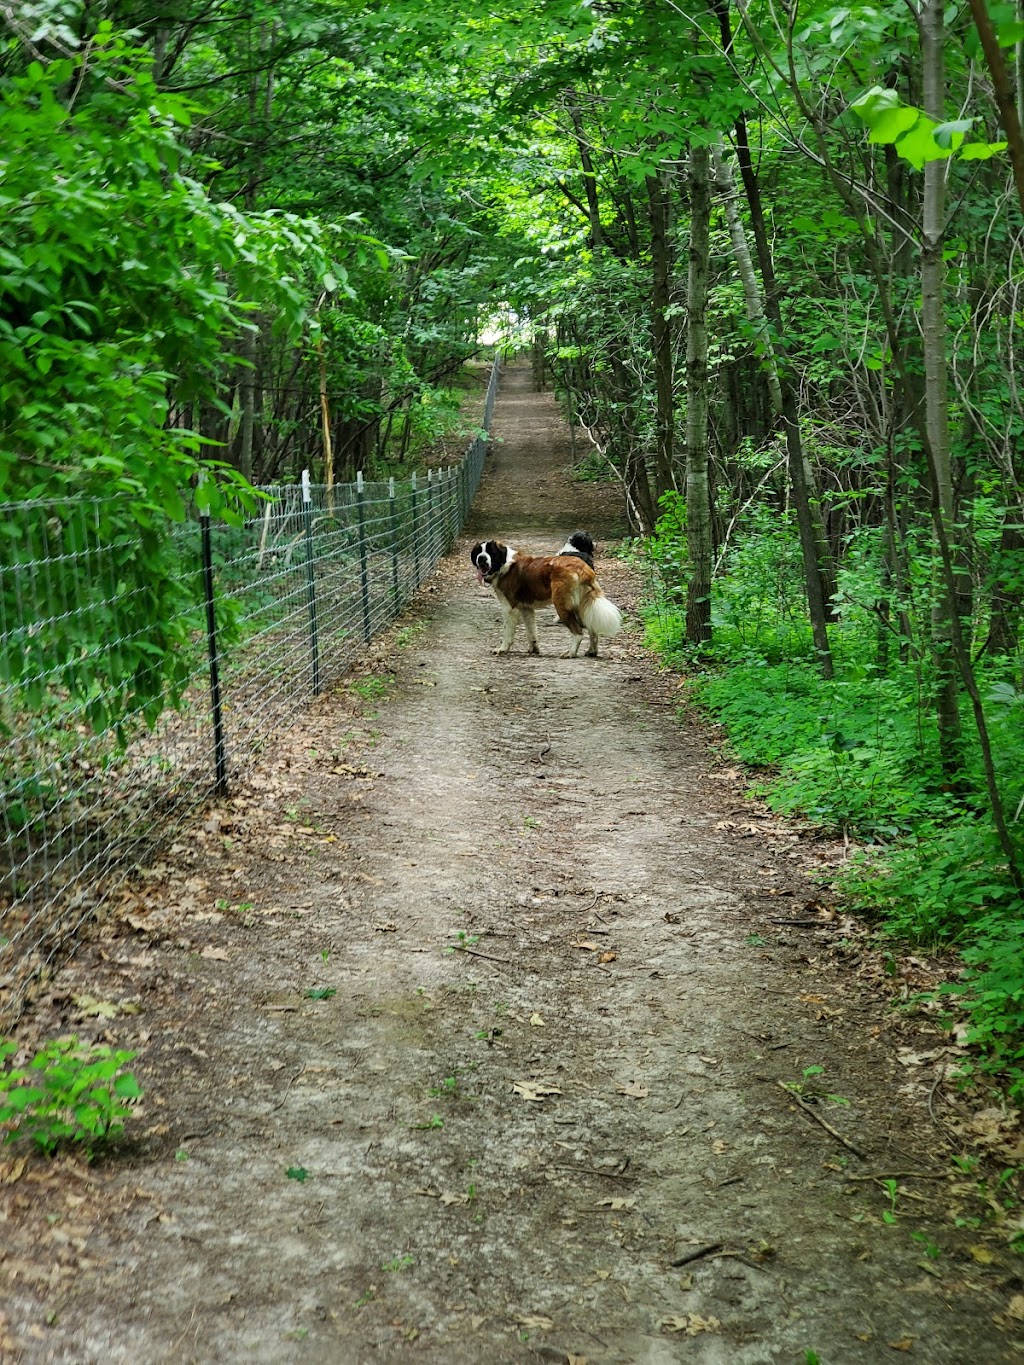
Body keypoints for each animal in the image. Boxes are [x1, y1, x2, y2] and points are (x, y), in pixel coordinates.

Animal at [469, 535, 622, 657]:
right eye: (479, 552)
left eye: (491, 552)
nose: (481, 558)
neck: (504, 563)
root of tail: (582, 568)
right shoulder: (526, 608)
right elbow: (531, 630)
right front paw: (533, 648)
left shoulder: (509, 608)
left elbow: (507, 631)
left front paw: (502, 649)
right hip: (582, 605)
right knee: (592, 629)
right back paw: (592, 651)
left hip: (562, 605)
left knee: (578, 632)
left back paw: (570, 653)